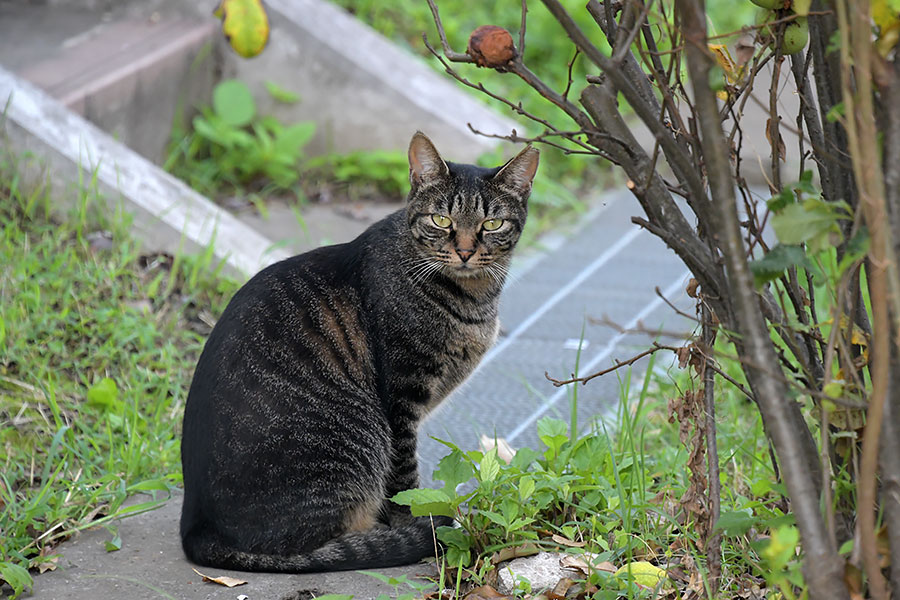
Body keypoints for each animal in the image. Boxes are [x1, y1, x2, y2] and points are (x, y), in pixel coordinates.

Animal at [179, 131, 536, 572]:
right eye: (441, 221)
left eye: (492, 223)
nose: (466, 251)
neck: (473, 300)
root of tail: (196, 530)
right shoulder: (402, 399)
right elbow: (404, 481)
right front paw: (414, 524)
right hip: (361, 438)